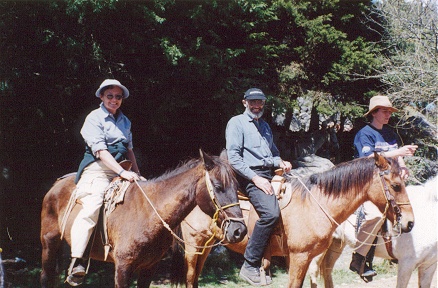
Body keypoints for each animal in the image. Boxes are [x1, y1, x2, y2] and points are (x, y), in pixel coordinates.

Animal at [40, 150, 246, 286]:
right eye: (218, 186)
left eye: (237, 187)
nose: (239, 231)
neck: (150, 214)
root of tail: (55, 185)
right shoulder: (122, 268)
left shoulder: (149, 268)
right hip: (49, 245)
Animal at [170, 153, 414, 286]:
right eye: (396, 186)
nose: (410, 222)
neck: (314, 205)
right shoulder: (299, 257)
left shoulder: (302, 258)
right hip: (192, 246)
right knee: (190, 278)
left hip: (205, 247)